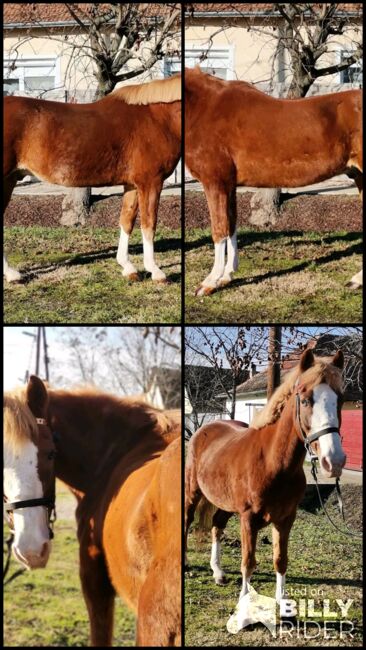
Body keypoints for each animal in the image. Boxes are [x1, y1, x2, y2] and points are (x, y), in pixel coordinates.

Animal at [2, 73, 180, 280]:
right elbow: (149, 223)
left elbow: (126, 220)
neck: (158, 117)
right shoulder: (151, 182)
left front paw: (127, 267)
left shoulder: (133, 185)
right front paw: (155, 271)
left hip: (9, 180)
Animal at [186, 66, 364, 294]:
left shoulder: (215, 183)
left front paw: (209, 282)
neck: (205, 108)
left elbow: (219, 229)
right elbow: (231, 226)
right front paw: (227, 276)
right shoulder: (229, 186)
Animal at [186, 350, 346, 628]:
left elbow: (280, 560)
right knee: (186, 521)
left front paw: (284, 606)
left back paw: (217, 572)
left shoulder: (285, 519)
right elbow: (248, 562)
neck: (272, 463)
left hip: (226, 503)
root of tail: (203, 430)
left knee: (217, 526)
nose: (333, 461)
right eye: (306, 400)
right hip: (193, 493)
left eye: (341, 400)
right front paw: (243, 610)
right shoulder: (248, 519)